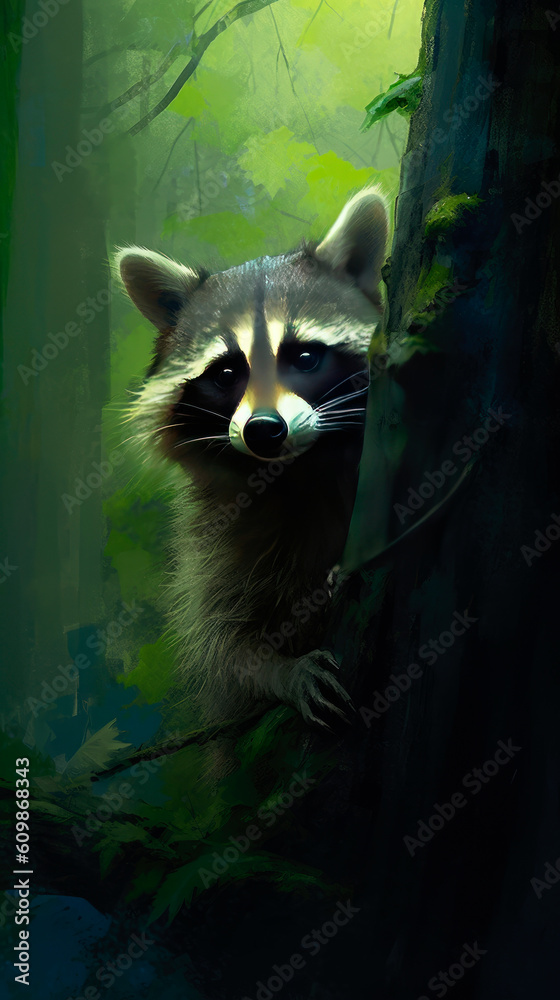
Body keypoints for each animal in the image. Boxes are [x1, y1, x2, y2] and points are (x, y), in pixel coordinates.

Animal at [117, 189, 388, 729]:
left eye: (304, 357)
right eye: (227, 373)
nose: (264, 430)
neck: (298, 469)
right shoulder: (218, 535)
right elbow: (225, 648)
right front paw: (278, 671)